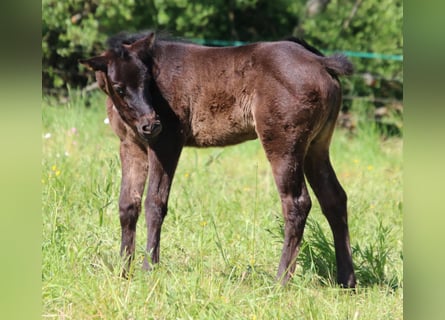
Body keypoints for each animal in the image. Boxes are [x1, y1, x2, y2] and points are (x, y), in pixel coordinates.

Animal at [80, 31, 356, 288]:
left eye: (148, 81)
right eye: (119, 87)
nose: (152, 124)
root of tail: (321, 63)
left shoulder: (167, 143)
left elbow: (155, 203)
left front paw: (149, 268)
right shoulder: (131, 146)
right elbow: (128, 205)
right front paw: (123, 272)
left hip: (283, 144)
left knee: (297, 202)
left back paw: (280, 281)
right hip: (316, 146)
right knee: (334, 198)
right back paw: (347, 280)